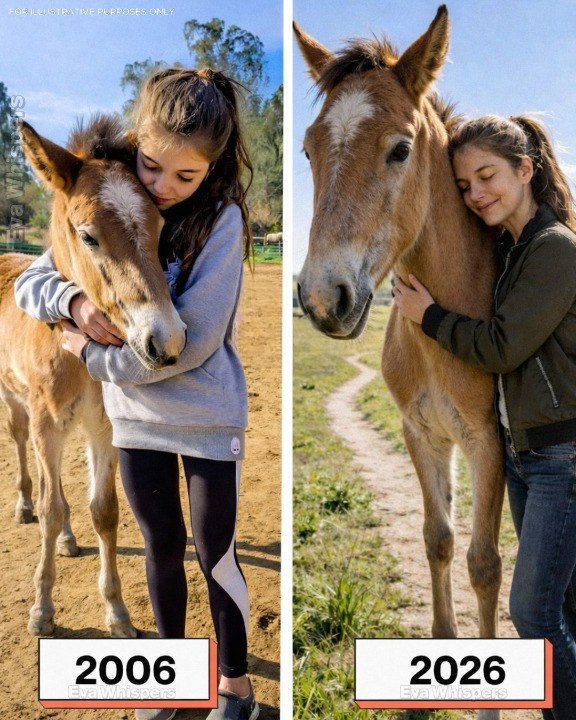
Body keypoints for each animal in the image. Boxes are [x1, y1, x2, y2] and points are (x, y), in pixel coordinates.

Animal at [295, 5, 505, 708]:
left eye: (400, 149)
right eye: (308, 149)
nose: (322, 298)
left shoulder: (489, 444)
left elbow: (484, 563)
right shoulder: (421, 433)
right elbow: (438, 540)